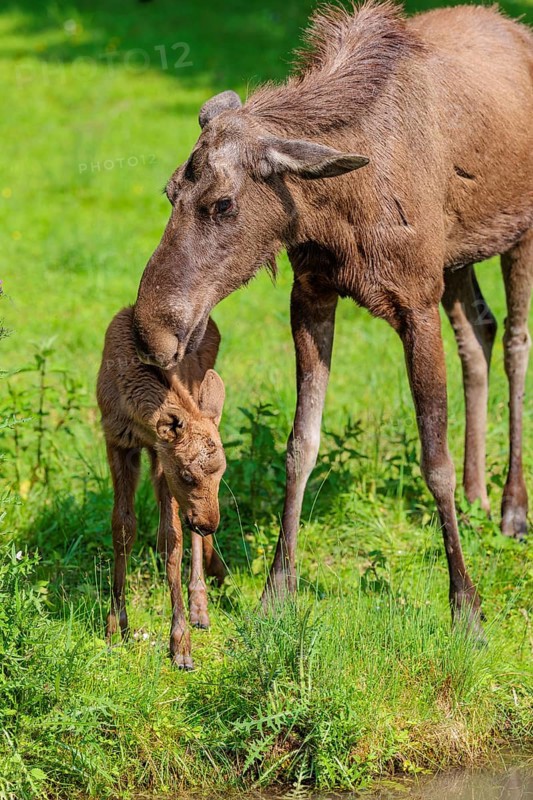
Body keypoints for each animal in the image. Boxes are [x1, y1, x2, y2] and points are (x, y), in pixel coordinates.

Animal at [97, 306, 226, 668]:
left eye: (222, 472)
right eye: (187, 474)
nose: (211, 523)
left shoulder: (158, 453)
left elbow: (173, 539)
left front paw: (181, 643)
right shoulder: (118, 442)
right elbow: (123, 528)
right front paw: (116, 627)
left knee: (184, 531)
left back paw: (200, 606)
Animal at [131, 2, 533, 640]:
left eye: (223, 203)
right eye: (170, 192)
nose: (152, 332)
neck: (337, 209)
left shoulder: (415, 302)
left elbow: (434, 460)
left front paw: (466, 605)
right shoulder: (313, 295)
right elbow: (301, 445)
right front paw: (277, 589)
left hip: (518, 231)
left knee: (517, 340)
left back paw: (513, 508)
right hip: (458, 255)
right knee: (480, 331)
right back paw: (478, 498)